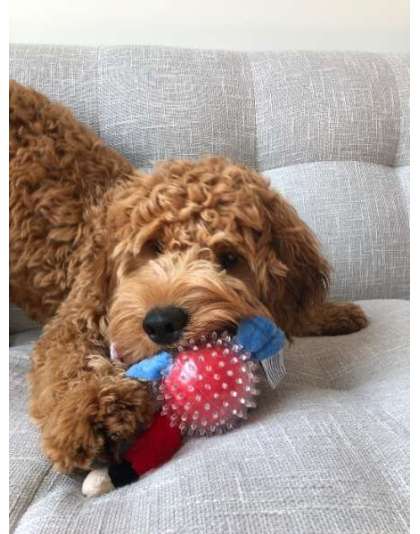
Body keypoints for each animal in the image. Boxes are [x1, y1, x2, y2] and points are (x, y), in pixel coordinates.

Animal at [8, 79, 366, 474]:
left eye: (229, 258)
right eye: (154, 247)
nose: (161, 323)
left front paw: (332, 314)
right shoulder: (76, 317)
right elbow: (67, 362)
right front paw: (93, 411)